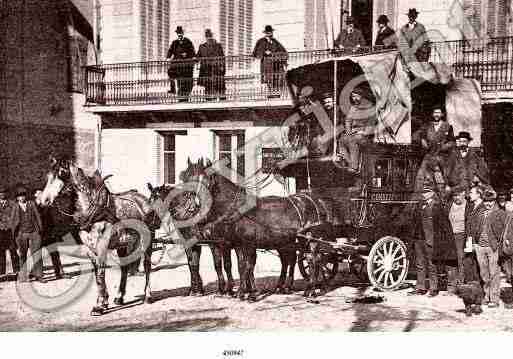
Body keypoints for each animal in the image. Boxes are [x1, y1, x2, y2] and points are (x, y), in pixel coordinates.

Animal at [38, 158, 160, 316]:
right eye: (47, 177)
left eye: (61, 174)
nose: (43, 201)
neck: (94, 210)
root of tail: (145, 201)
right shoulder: (89, 248)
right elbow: (97, 273)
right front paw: (103, 301)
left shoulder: (102, 246)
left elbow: (101, 273)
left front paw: (99, 306)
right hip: (123, 244)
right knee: (124, 268)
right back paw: (119, 297)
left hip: (147, 242)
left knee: (147, 265)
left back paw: (148, 295)